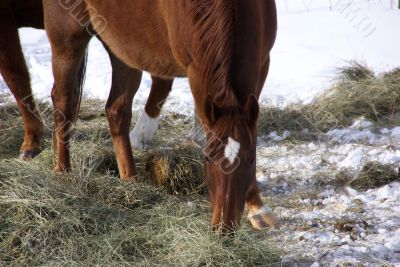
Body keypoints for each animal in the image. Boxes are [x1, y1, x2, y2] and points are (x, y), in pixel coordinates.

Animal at [43, 0, 276, 230]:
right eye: (208, 158)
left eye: (252, 160)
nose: (224, 227)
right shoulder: (196, 72)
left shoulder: (262, 63)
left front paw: (257, 208)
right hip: (68, 40)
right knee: (63, 102)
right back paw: (63, 171)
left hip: (121, 49)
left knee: (117, 111)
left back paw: (130, 180)